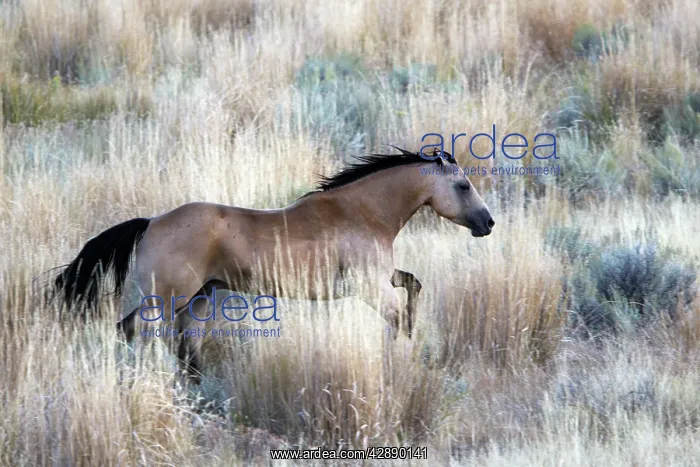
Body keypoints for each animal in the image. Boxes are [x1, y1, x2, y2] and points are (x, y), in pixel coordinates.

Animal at [52, 148, 494, 383]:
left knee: (172, 342)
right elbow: (399, 317)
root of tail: (151, 223)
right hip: (167, 299)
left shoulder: (382, 277)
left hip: (198, 299)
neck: (363, 212)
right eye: (463, 185)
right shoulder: (369, 288)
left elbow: (414, 285)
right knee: (140, 333)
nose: (487, 223)